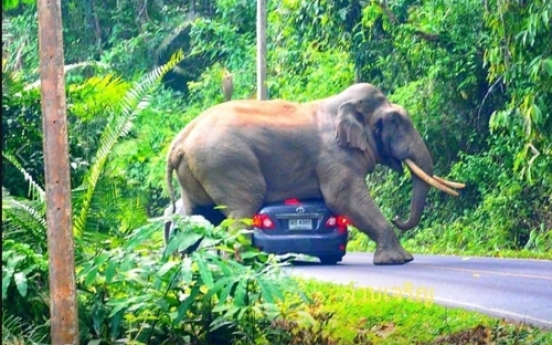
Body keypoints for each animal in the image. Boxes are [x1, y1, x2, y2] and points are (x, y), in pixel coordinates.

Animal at [165, 82, 466, 264]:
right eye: (395, 120)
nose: (398, 217)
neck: (340, 104)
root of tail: (179, 142)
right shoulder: (334, 156)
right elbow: (343, 199)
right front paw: (399, 260)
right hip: (226, 163)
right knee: (242, 208)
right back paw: (246, 263)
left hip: (198, 171)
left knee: (198, 214)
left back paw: (185, 262)